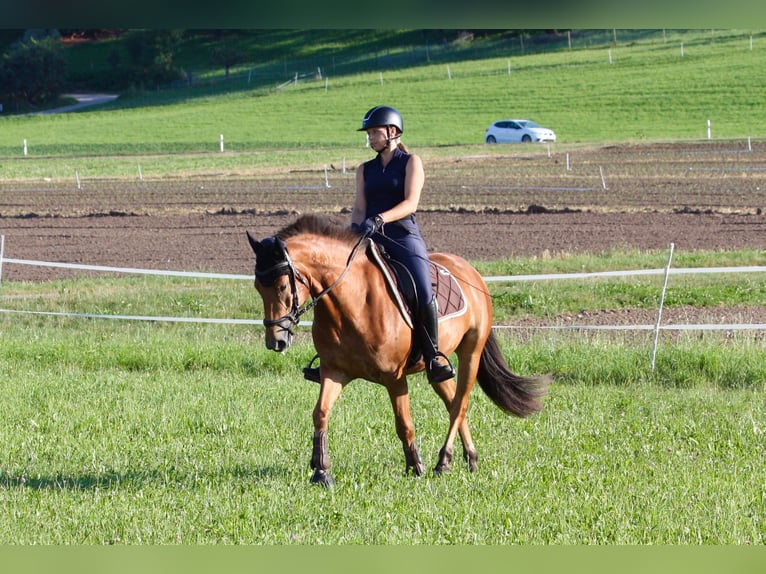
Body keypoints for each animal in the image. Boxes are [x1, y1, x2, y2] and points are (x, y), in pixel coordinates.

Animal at [248, 214, 552, 488]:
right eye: (257, 288)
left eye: (282, 286)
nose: (275, 341)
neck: (352, 301)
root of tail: (469, 270)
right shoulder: (334, 371)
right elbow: (320, 413)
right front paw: (321, 472)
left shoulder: (394, 377)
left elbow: (404, 422)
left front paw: (414, 466)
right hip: (437, 367)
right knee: (452, 399)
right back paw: (470, 458)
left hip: (471, 353)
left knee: (460, 405)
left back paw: (443, 462)